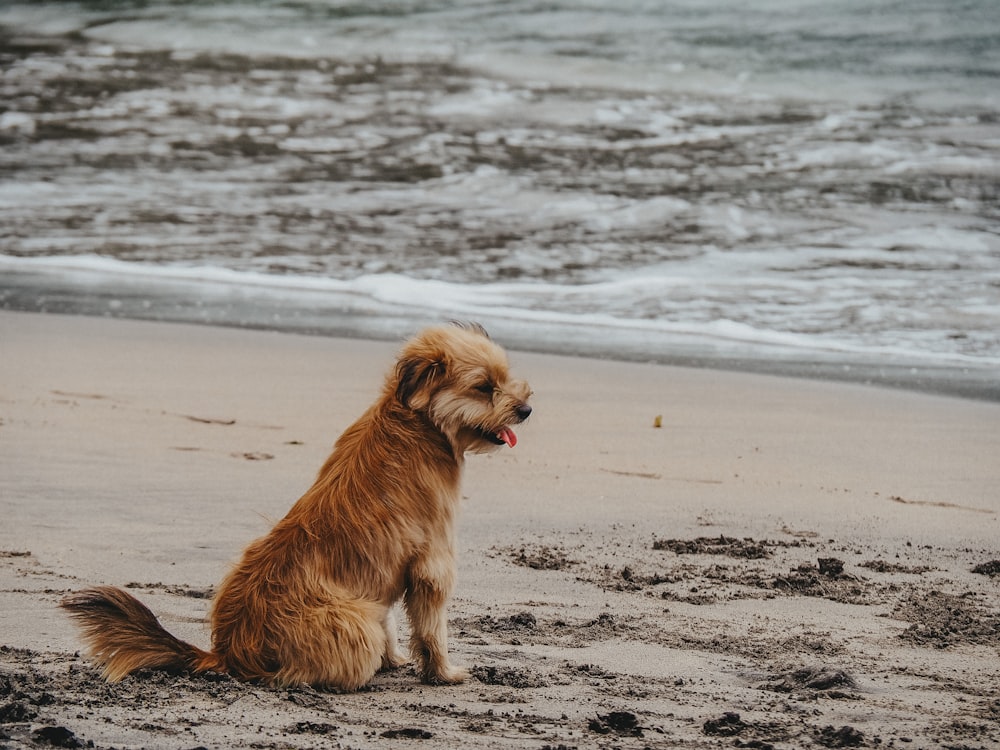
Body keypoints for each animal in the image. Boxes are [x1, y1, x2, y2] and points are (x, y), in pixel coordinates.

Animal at [62, 324, 532, 692]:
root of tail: (229, 652)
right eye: (483, 388)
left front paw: (396, 659)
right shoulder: (433, 564)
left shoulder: (384, 578)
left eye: (505, 378)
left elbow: (390, 620)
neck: (419, 422)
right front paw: (443, 673)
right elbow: (432, 630)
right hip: (353, 624)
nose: (526, 409)